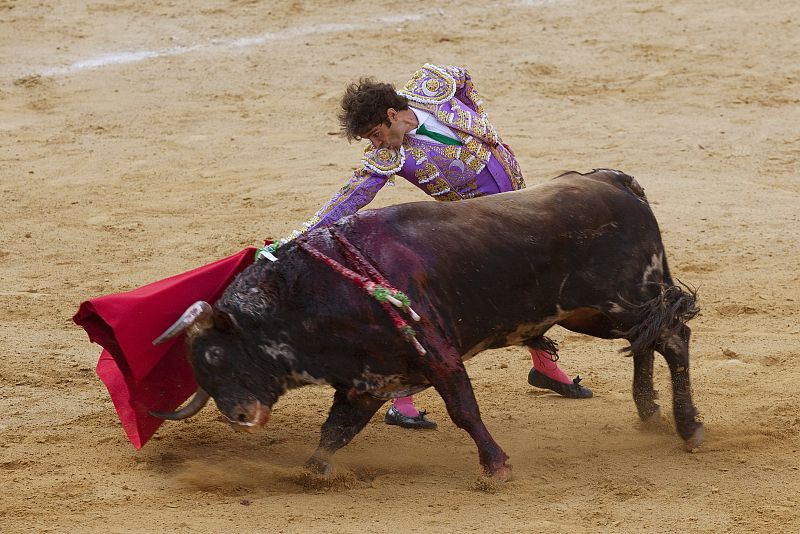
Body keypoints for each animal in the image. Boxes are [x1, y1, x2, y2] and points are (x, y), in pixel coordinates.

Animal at [150, 169, 700, 482]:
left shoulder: (437, 353)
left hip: (622, 299)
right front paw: (311, 473)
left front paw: (496, 467)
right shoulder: (369, 381)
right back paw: (649, 412)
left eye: (216, 354)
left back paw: (689, 427)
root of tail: (613, 180)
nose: (238, 415)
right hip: (597, 315)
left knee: (673, 337)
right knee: (646, 340)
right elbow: (336, 431)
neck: (309, 296)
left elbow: (463, 410)